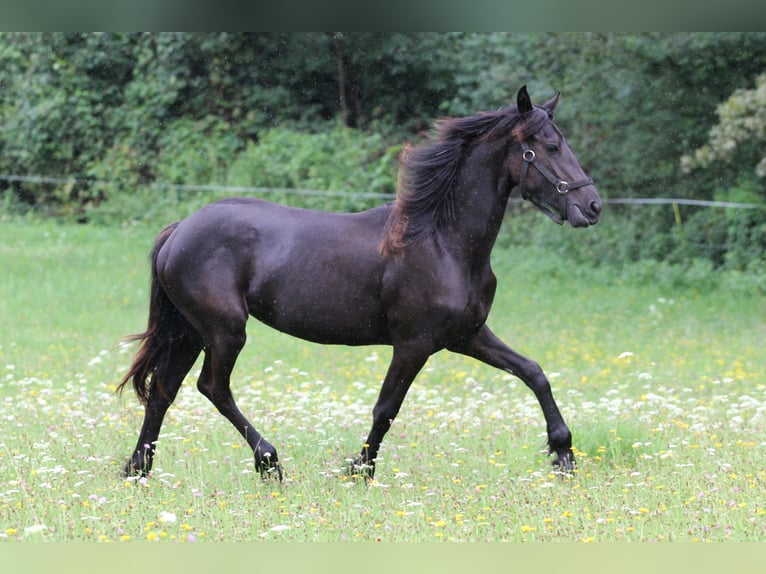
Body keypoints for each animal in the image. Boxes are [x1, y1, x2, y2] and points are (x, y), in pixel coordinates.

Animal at [117, 85, 604, 482]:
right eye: (549, 146)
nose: (593, 206)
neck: (442, 241)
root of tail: (179, 231)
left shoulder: (467, 336)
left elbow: (534, 372)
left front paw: (563, 453)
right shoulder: (413, 344)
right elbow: (387, 408)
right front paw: (360, 470)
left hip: (190, 331)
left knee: (163, 391)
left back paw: (138, 469)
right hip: (224, 330)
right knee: (212, 388)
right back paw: (269, 461)